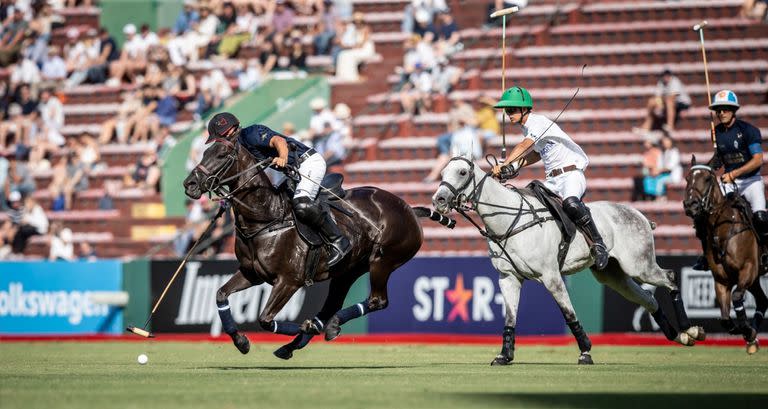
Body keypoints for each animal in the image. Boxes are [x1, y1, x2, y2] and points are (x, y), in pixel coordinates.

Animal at [183, 135, 448, 356]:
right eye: (205, 152)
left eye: (222, 155)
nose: (189, 184)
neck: (267, 218)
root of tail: (410, 210)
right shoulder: (252, 273)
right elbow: (221, 294)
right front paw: (241, 341)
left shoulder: (289, 281)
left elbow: (265, 319)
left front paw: (303, 326)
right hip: (348, 270)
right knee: (333, 304)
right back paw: (310, 335)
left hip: (383, 261)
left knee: (377, 301)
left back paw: (320, 326)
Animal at [684, 155, 768, 352]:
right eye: (687, 178)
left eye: (708, 179)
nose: (690, 205)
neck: (722, 229)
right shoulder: (722, 279)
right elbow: (724, 319)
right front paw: (747, 333)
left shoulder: (748, 269)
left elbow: (737, 297)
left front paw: (747, 330)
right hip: (754, 280)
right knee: (763, 300)